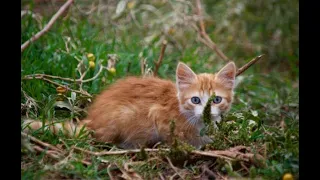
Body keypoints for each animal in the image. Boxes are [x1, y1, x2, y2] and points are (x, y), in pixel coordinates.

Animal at [23, 62, 236, 149]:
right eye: (195, 100)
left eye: (216, 100)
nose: (207, 113)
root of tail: (91, 121)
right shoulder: (158, 115)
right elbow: (177, 138)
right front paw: (194, 145)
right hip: (128, 117)